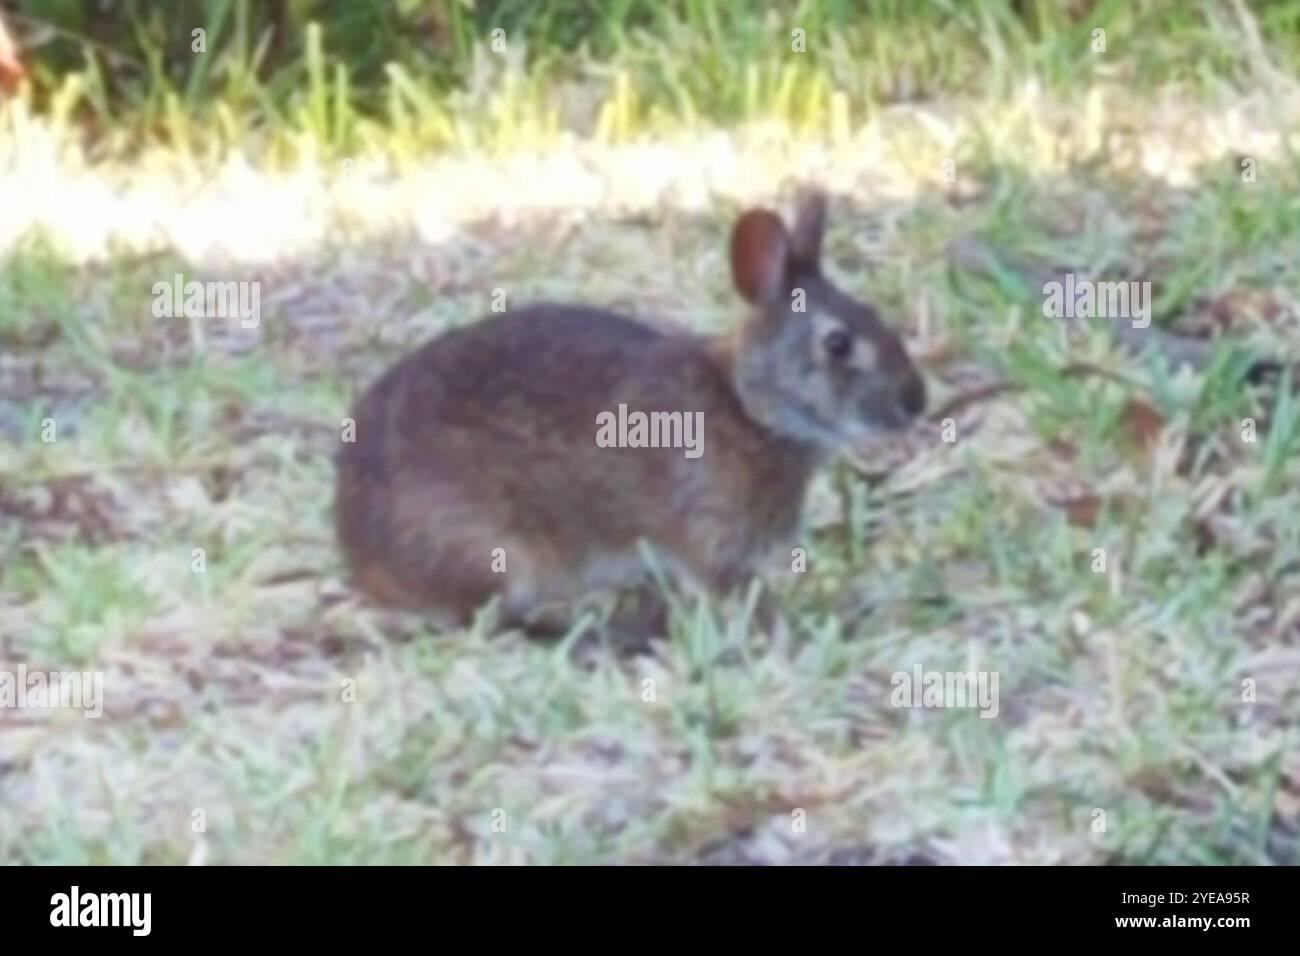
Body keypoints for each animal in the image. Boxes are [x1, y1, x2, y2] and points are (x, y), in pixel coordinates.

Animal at [335, 191, 925, 632]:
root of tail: (359, 552)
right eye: (838, 343)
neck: (749, 409)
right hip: (493, 549)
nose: (916, 401)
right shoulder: (710, 541)